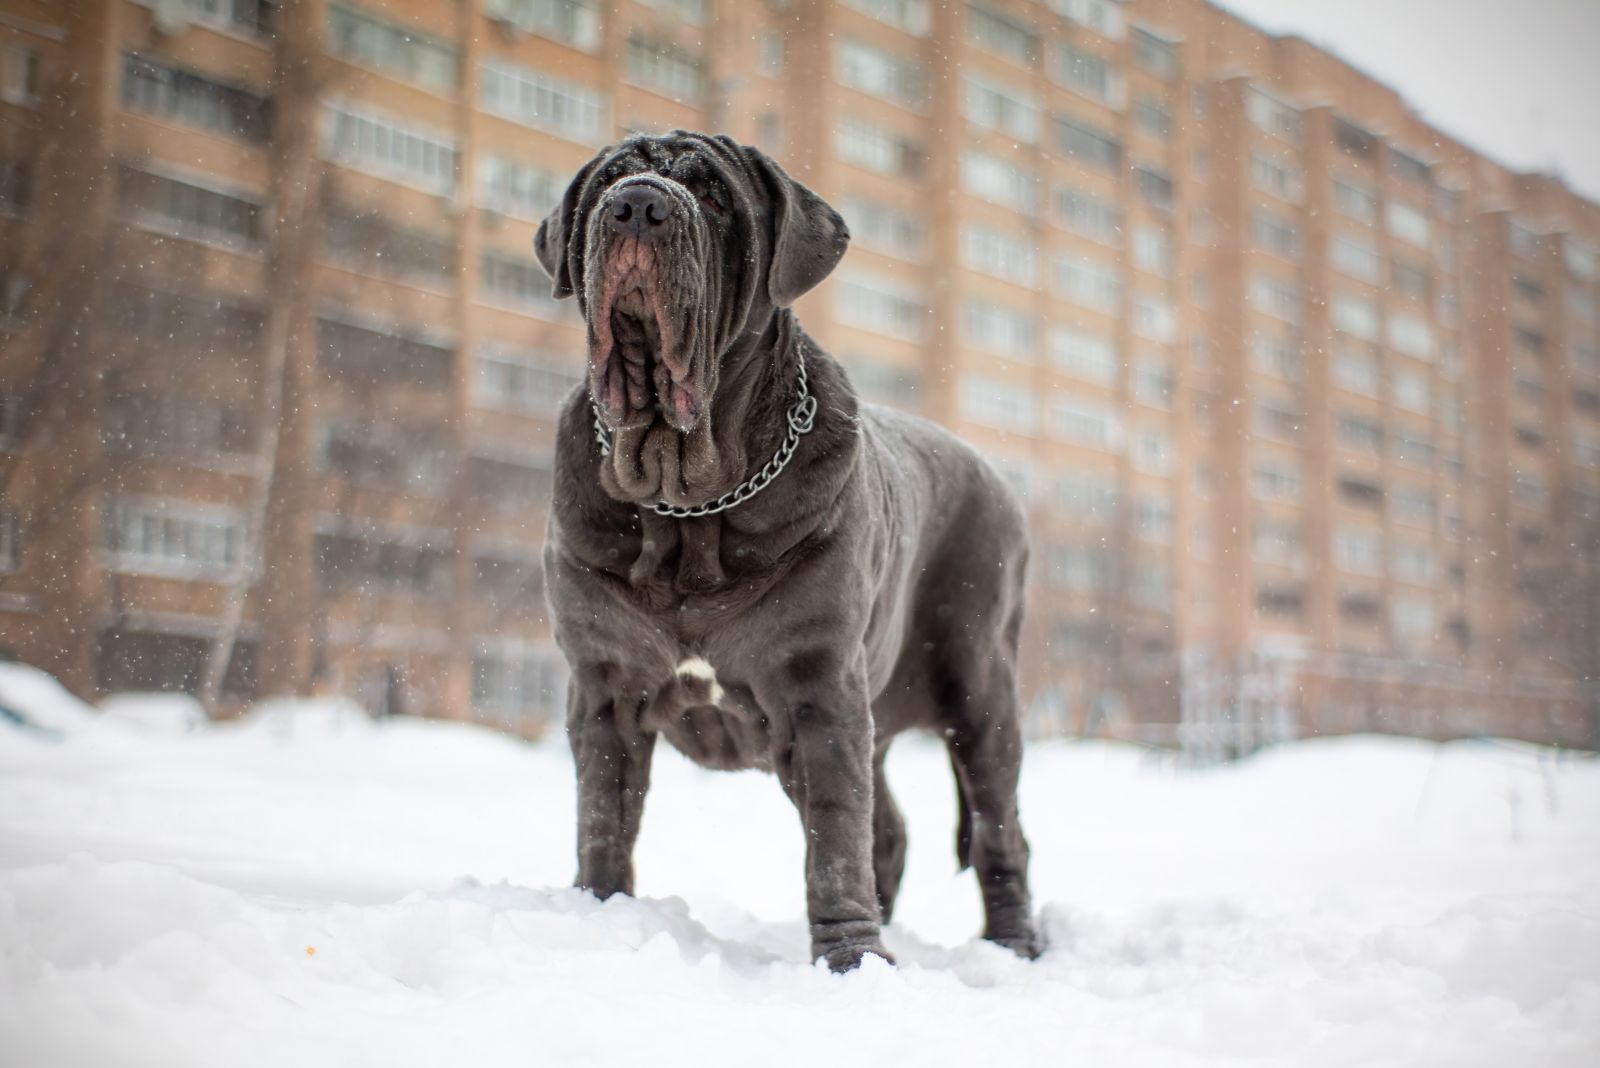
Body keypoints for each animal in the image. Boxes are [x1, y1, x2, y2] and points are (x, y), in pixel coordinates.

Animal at [531, 129, 1043, 972]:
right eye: (609, 180)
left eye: (712, 195)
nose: (636, 205)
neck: (689, 501)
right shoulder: (603, 685)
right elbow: (603, 819)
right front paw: (598, 915)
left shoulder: (818, 690)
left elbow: (833, 839)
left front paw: (851, 962)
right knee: (889, 831)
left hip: (981, 686)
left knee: (998, 830)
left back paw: (1014, 947)